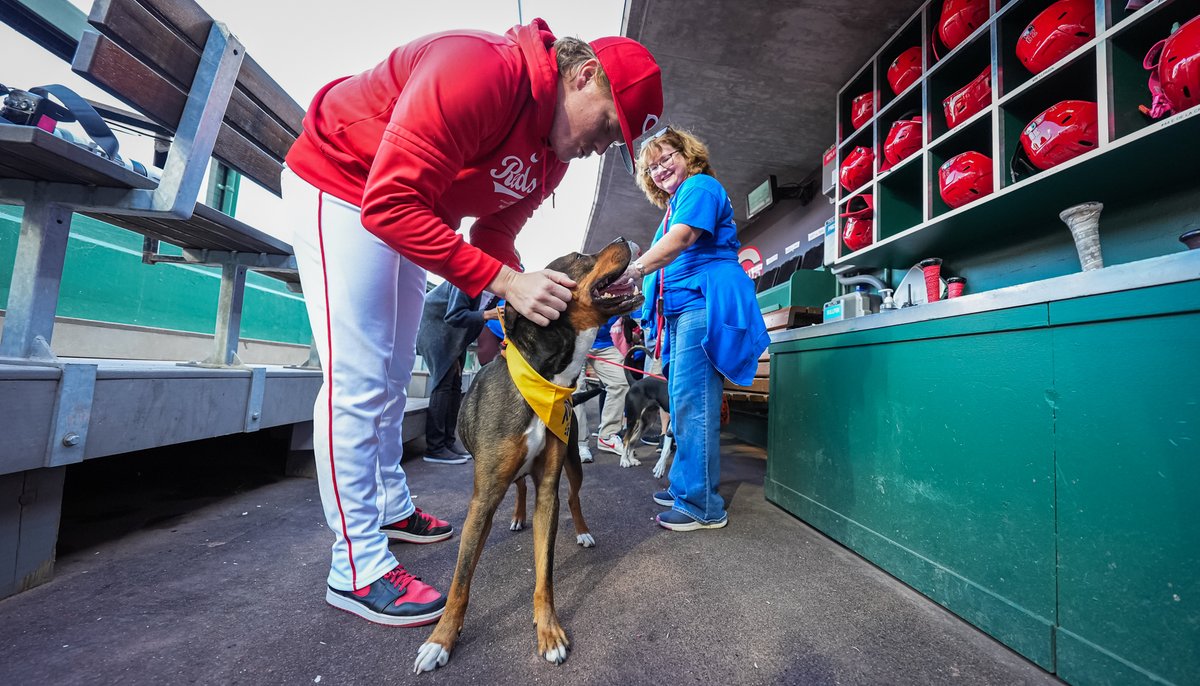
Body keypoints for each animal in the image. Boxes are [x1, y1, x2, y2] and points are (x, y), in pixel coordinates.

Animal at [420, 238, 652, 671]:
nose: (625, 239)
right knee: (518, 488)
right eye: (579, 257)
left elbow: (544, 573)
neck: (544, 376)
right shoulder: (482, 499)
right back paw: (515, 516)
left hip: (574, 467)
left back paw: (581, 532)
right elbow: (461, 579)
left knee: (573, 498)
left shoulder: (549, 491)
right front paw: (441, 639)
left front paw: (549, 631)